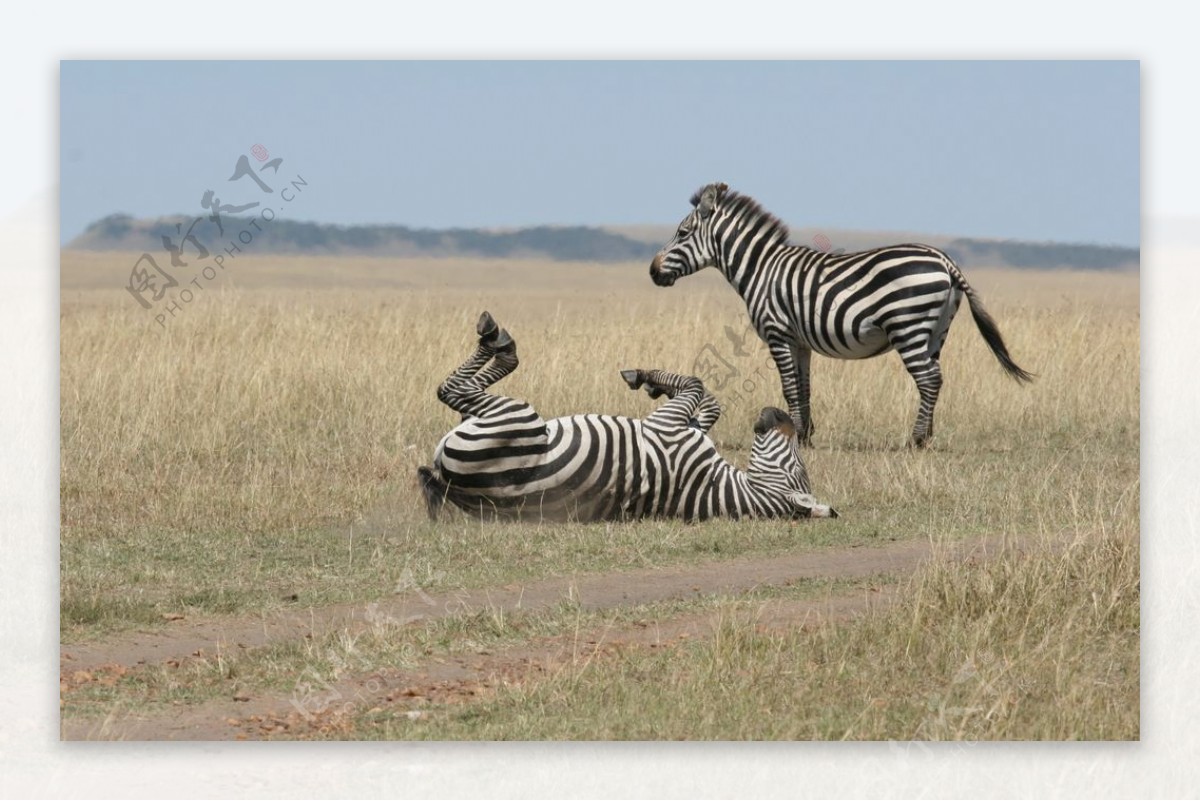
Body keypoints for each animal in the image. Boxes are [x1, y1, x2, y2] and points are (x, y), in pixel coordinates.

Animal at [417, 311, 840, 525]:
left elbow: (695, 384)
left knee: (453, 390)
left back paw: (497, 339)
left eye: (796, 466)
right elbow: (708, 402)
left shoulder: (669, 428)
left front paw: (643, 377)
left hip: (517, 419)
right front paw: (654, 383)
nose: (779, 413)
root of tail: (453, 485)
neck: (722, 489)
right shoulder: (686, 429)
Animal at [648, 181, 1032, 448]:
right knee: (935, 378)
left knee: (928, 380)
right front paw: (805, 435)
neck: (761, 269)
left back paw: (916, 440)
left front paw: (794, 436)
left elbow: (788, 387)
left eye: (682, 233)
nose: (652, 272)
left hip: (908, 327)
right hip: (936, 331)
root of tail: (945, 261)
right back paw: (928, 435)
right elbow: (803, 387)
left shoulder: (777, 333)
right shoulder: (800, 341)